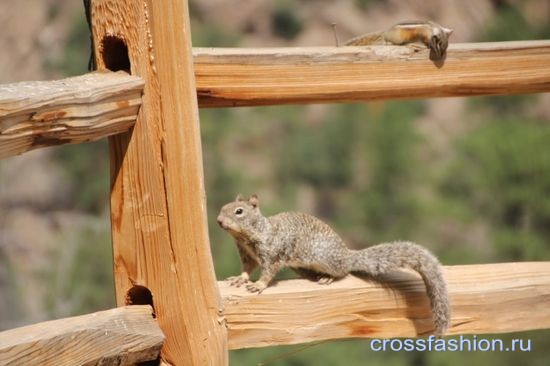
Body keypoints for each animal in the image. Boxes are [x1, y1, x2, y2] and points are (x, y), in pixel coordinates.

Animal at [216, 194, 452, 334]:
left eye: (239, 211)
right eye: (223, 206)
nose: (218, 221)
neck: (249, 235)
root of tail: (346, 255)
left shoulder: (272, 253)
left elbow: (268, 272)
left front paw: (259, 285)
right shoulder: (247, 255)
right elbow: (247, 269)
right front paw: (240, 279)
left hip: (324, 259)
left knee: (343, 272)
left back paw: (328, 277)